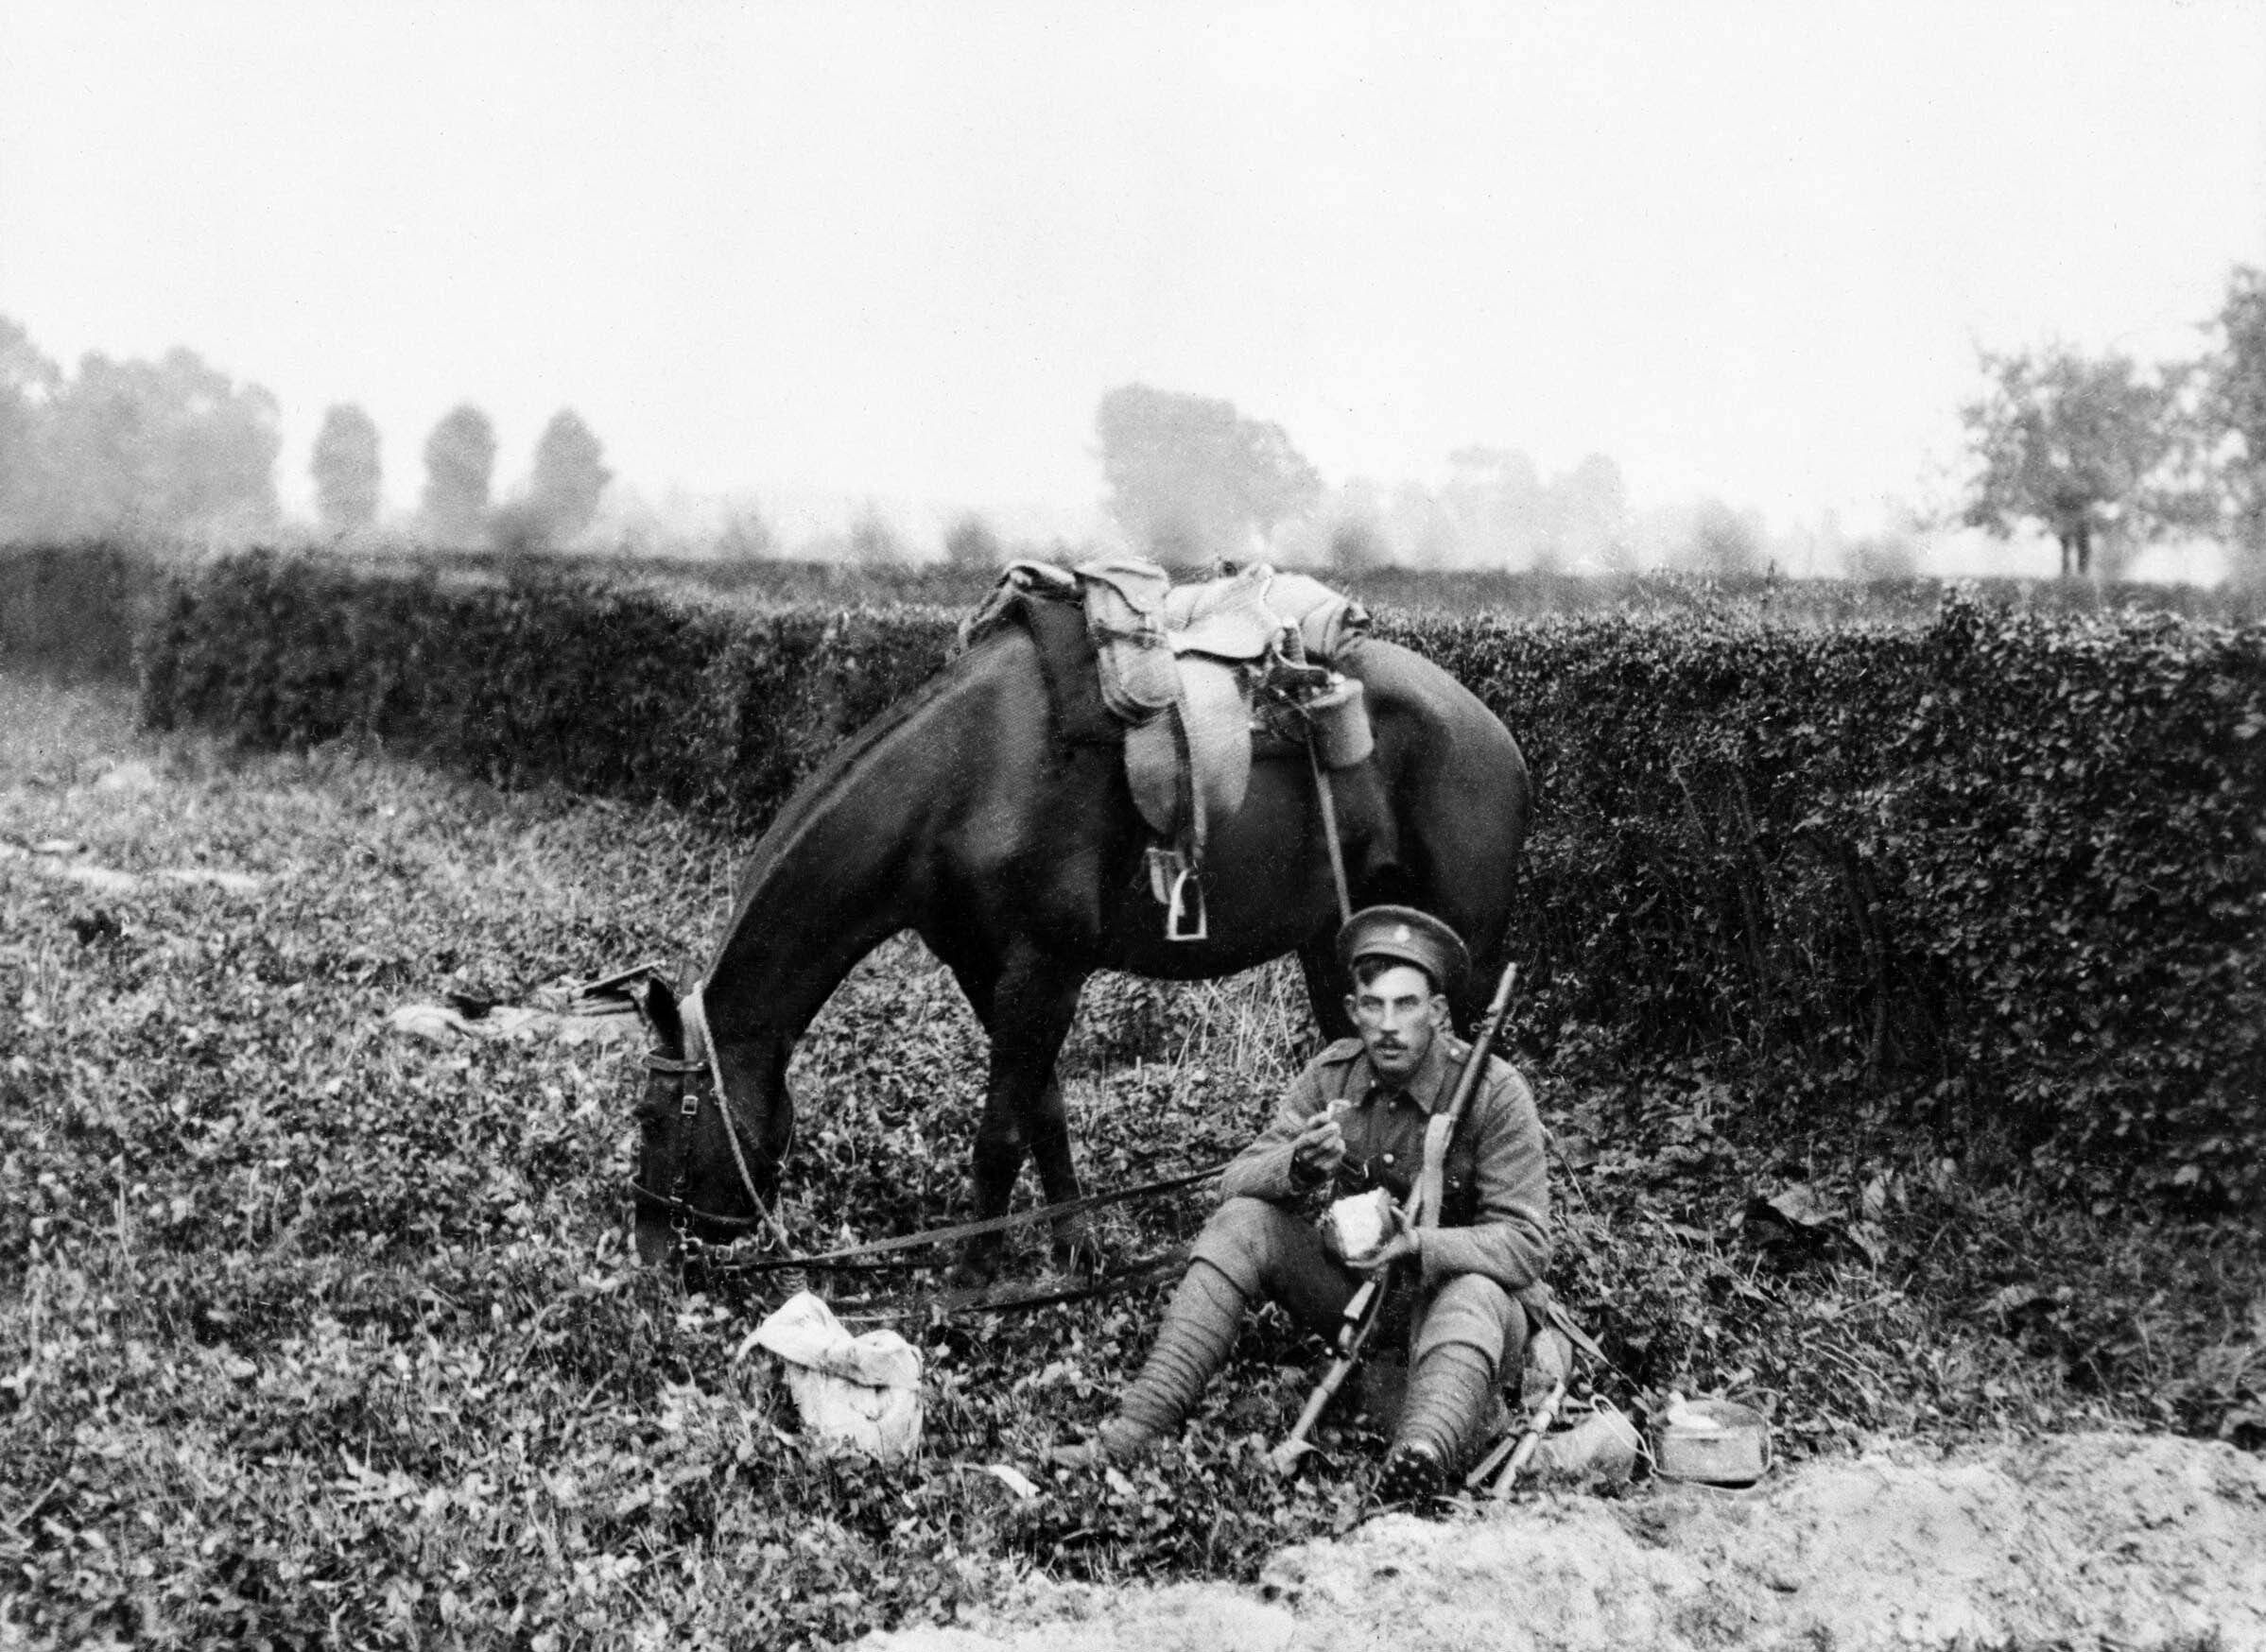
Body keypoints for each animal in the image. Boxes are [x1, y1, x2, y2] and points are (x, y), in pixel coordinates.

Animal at [630, 616, 1531, 1278]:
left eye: (656, 1117)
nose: (651, 1257)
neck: (964, 776)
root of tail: (1496, 732)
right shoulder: (986, 967)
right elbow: (1043, 1112)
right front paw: (1072, 1249)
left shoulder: (1045, 965)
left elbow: (998, 1133)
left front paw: (971, 1285)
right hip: (1340, 947)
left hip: (1463, 953)